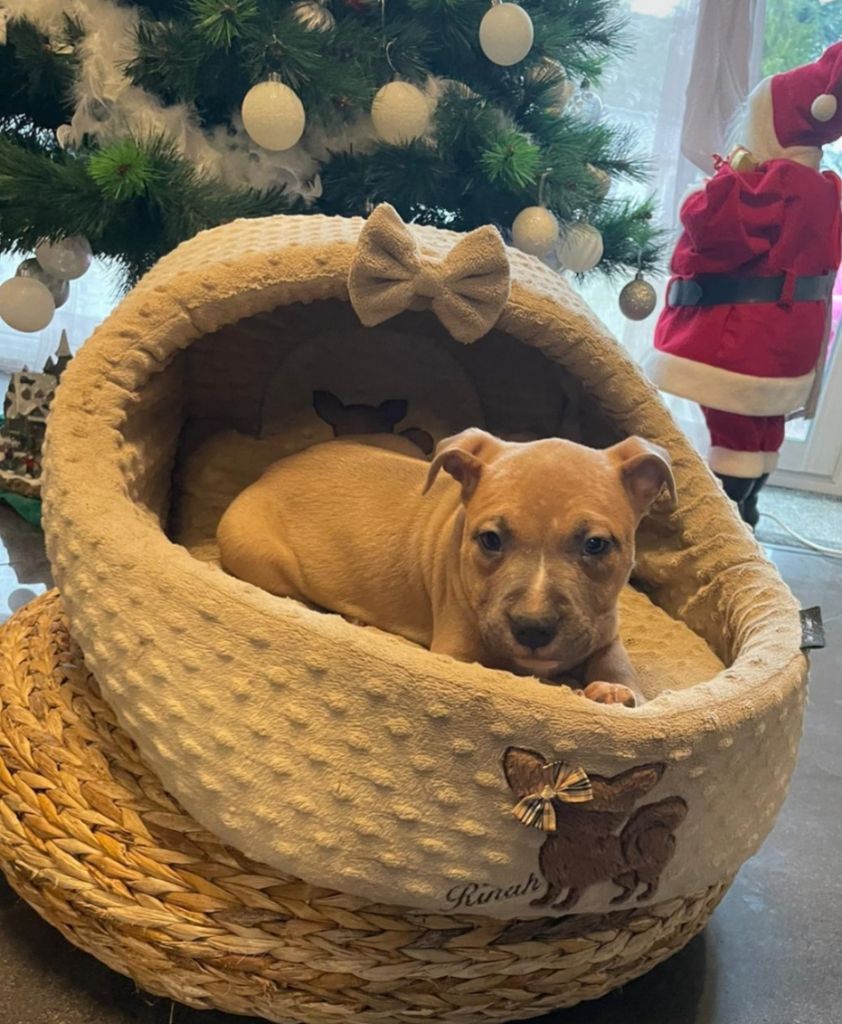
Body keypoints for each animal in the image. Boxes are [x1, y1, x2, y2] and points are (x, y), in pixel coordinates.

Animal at [216, 429, 675, 705]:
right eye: (490, 540)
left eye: (596, 545)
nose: (532, 629)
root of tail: (270, 470)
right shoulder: (459, 654)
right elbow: (526, 677)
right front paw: (573, 689)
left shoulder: (605, 636)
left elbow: (621, 671)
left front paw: (614, 691)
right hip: (258, 554)